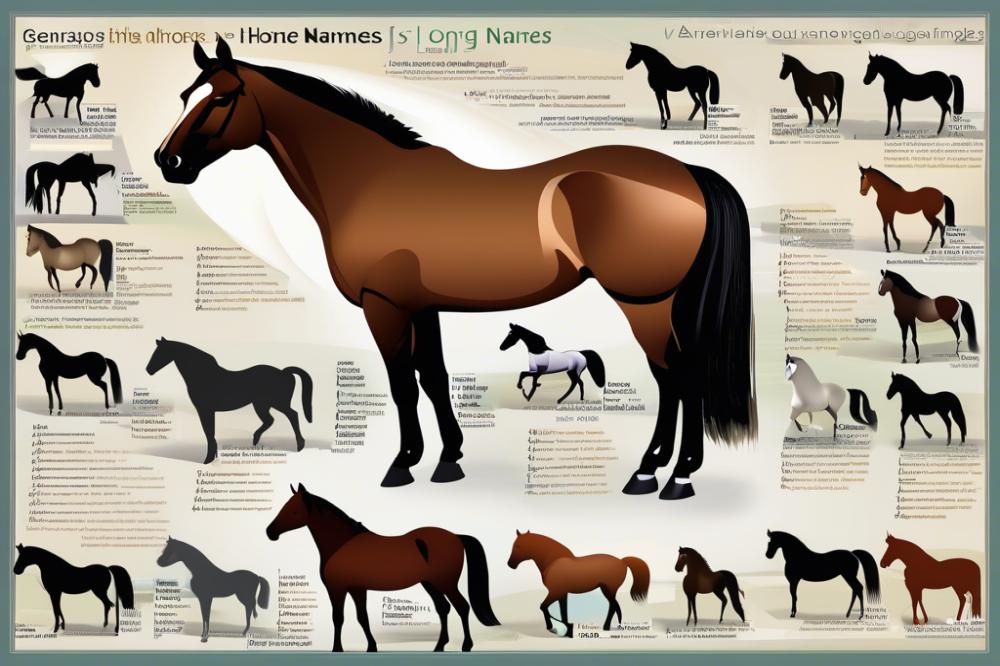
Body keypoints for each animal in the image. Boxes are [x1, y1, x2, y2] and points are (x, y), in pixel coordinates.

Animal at [145, 337, 313, 464]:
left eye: (160, 352)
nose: (148, 370)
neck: (202, 375)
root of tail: (284, 372)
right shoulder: (208, 411)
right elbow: (210, 433)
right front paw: (213, 458)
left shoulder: (204, 410)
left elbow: (208, 433)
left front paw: (207, 460)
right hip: (261, 404)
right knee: (270, 420)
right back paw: (255, 440)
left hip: (277, 403)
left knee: (293, 415)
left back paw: (300, 445)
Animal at [266, 484, 500, 652]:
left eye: (293, 510)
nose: (270, 532)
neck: (342, 544)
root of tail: (456, 537)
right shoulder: (357, 589)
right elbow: (362, 617)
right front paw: (371, 647)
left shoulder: (337, 589)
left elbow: (339, 618)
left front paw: (337, 649)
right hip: (429, 583)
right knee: (443, 608)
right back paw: (439, 645)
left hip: (446, 583)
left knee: (462, 607)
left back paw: (466, 645)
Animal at [507, 530, 649, 637]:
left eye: (518, 545)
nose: (510, 564)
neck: (553, 561)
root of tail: (622, 561)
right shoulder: (562, 593)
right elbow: (563, 612)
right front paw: (567, 630)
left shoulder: (555, 592)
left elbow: (543, 606)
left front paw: (552, 627)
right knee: (614, 605)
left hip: (608, 589)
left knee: (613, 606)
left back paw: (606, 627)